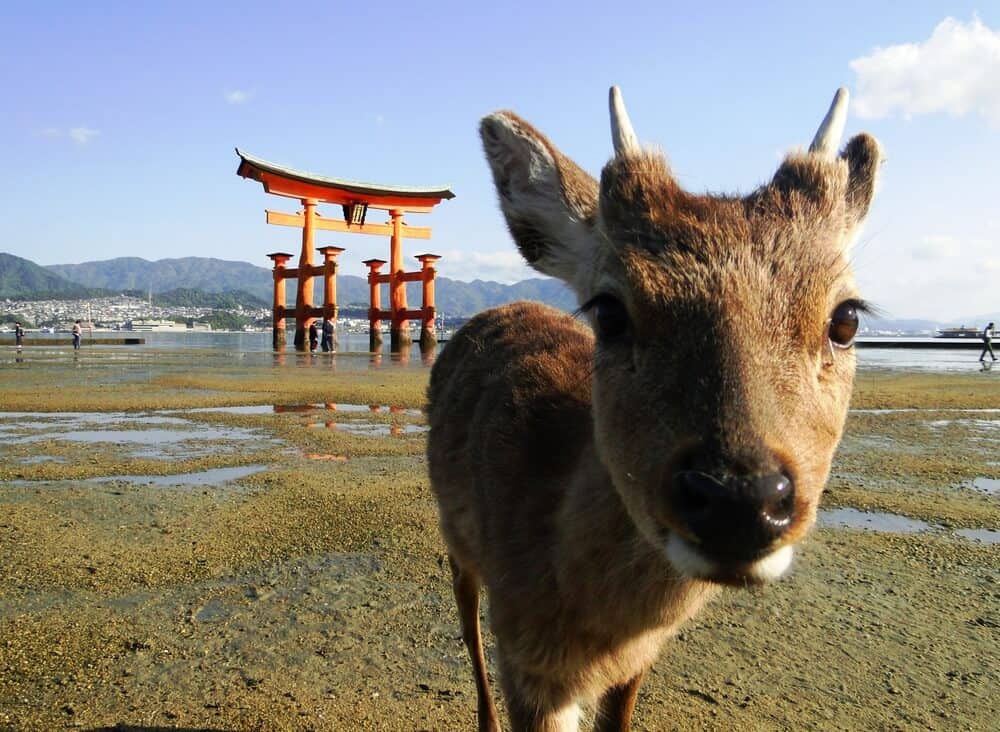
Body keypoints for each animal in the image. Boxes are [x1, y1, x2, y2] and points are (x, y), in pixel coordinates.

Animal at [426, 86, 880, 732]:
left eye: (846, 318)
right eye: (610, 311)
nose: (740, 499)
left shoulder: (638, 662)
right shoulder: (525, 658)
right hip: (452, 531)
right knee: (466, 618)